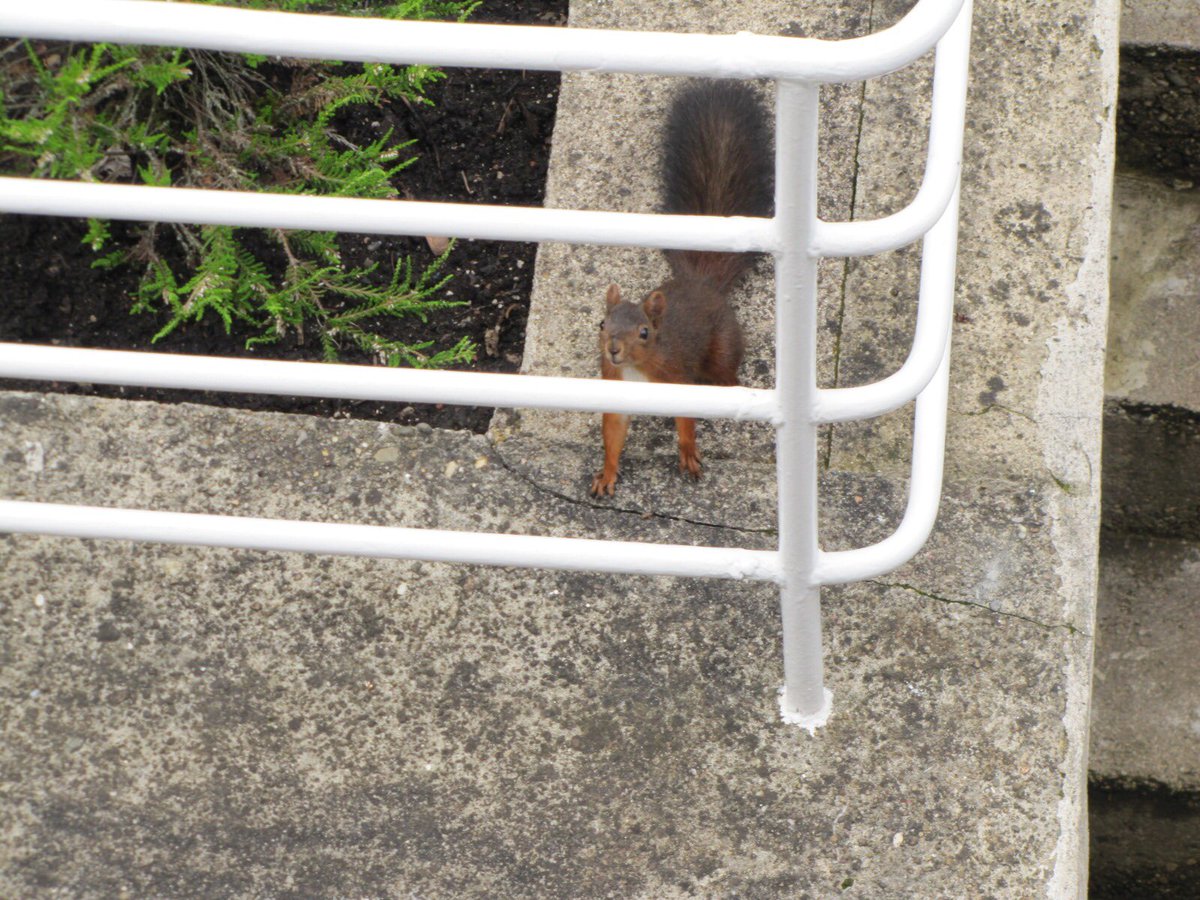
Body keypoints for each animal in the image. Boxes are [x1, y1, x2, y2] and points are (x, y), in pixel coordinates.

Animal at [590, 79, 774, 497]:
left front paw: (689, 453)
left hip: (722, 347)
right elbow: (613, 434)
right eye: (602, 324)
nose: (613, 350)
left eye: (644, 332)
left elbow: (686, 421)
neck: (637, 370)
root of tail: (702, 283)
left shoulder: (677, 377)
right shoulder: (616, 389)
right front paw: (606, 473)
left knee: (725, 374)